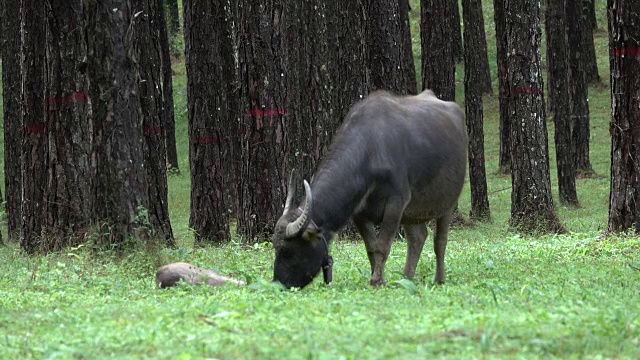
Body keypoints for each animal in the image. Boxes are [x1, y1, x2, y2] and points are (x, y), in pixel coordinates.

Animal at [272, 90, 468, 290]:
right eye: (275, 247)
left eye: (288, 250)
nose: (278, 284)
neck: (372, 151)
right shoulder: (360, 212)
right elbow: (371, 248)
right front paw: (377, 278)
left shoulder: (396, 203)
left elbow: (383, 245)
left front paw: (377, 280)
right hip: (411, 212)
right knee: (418, 238)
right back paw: (406, 278)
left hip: (448, 203)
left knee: (440, 241)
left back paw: (439, 279)